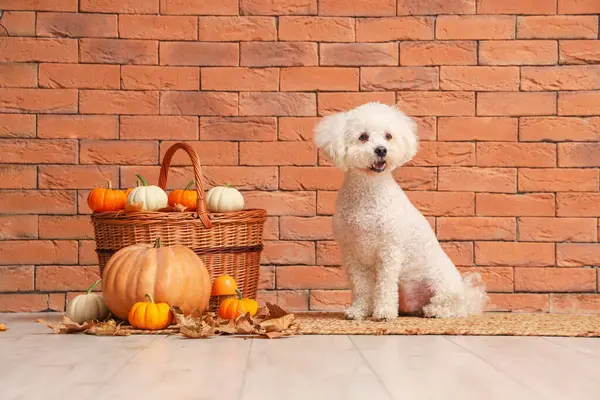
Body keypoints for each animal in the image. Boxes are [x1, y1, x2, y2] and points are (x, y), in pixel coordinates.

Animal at [314, 104, 488, 322]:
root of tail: (467, 293)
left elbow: (385, 286)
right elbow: (360, 287)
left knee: (454, 307)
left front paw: (384, 313)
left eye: (388, 136)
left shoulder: (389, 251)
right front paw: (359, 311)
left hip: (443, 285)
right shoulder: (352, 254)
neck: (369, 192)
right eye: (363, 137)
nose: (381, 149)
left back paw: (434, 310)